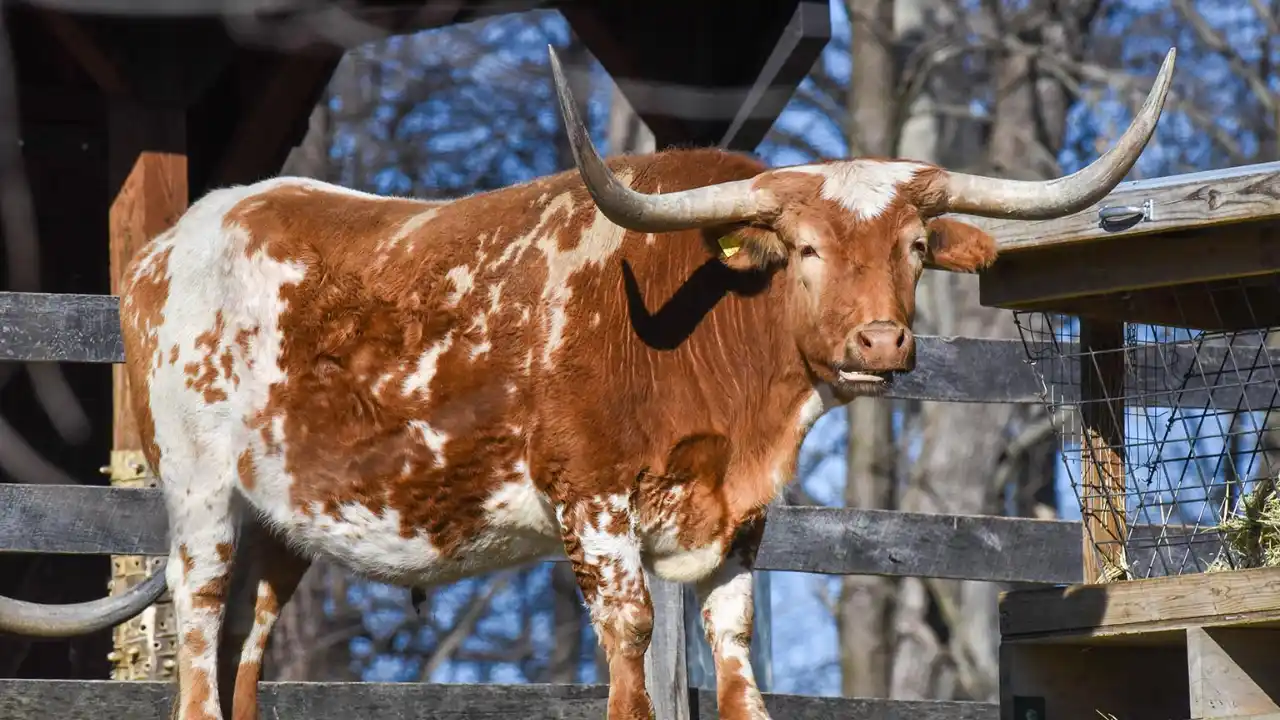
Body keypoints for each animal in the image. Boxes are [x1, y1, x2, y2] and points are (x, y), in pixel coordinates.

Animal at [0, 45, 1175, 720]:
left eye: (917, 247)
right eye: (798, 247)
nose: (882, 342)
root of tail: (182, 236)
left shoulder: (739, 529)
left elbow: (733, 664)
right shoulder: (594, 510)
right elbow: (631, 659)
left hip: (283, 525)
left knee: (247, 656)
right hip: (202, 504)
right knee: (200, 648)